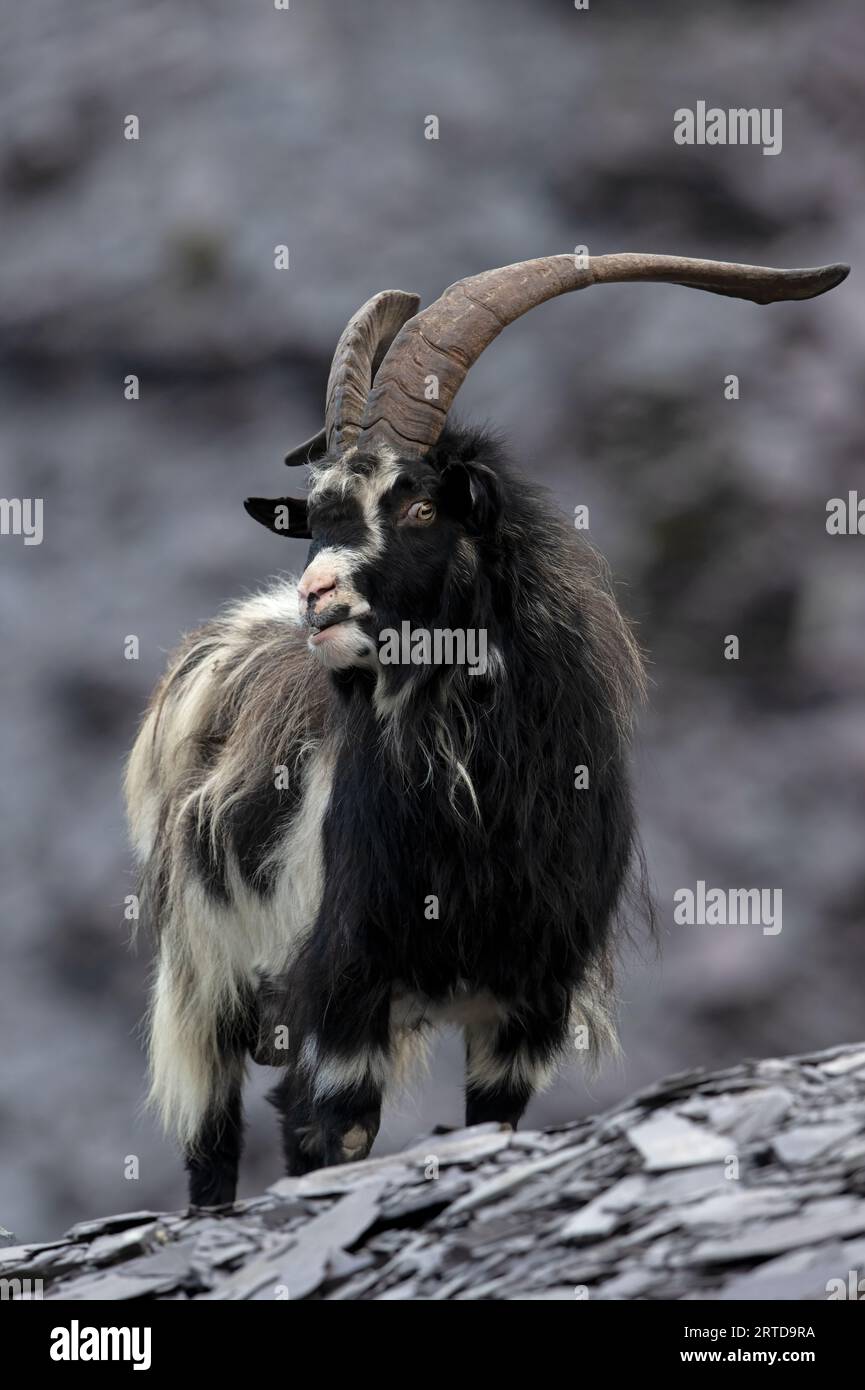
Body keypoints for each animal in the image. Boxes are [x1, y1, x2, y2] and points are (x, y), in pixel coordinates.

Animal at [125, 252, 851, 1206]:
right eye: (317, 513)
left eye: (421, 508)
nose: (316, 597)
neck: (480, 812)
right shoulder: (344, 986)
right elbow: (334, 1134)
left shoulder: (527, 1005)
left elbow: (492, 1123)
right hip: (203, 980)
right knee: (213, 1140)